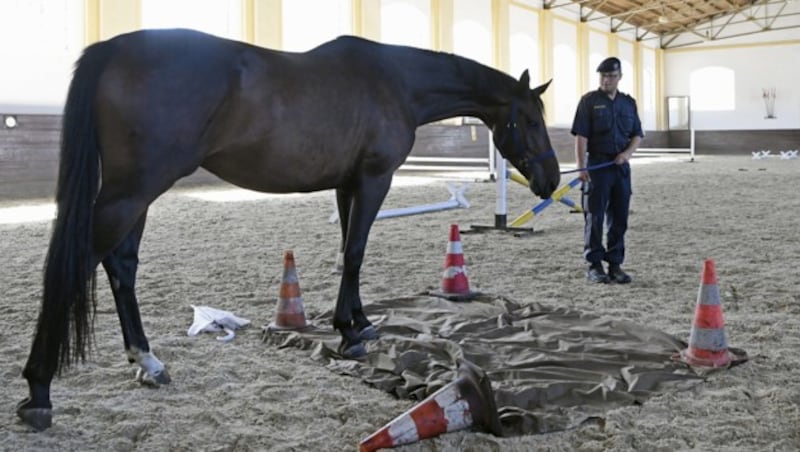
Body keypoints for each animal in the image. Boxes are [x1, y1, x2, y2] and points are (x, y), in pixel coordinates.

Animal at [15, 28, 560, 430]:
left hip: (136, 193)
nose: (551, 180)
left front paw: (357, 322)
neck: (396, 82)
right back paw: (38, 391)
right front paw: (351, 334)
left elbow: (347, 250)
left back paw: (148, 363)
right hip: (133, 189)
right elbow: (356, 251)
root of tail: (113, 47)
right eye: (531, 120)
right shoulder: (374, 179)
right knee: (78, 264)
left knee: (120, 264)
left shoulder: (347, 184)